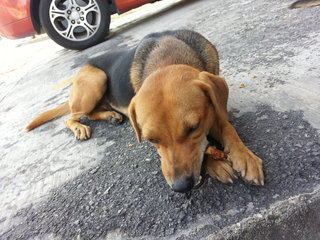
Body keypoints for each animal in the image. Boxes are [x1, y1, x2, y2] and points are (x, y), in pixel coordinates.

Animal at [26, 29, 262, 192]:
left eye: (193, 128)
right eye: (151, 140)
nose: (181, 187)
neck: (169, 56)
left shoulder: (213, 111)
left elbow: (228, 128)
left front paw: (245, 157)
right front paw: (216, 164)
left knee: (91, 112)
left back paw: (111, 115)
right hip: (95, 81)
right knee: (69, 117)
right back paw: (81, 127)